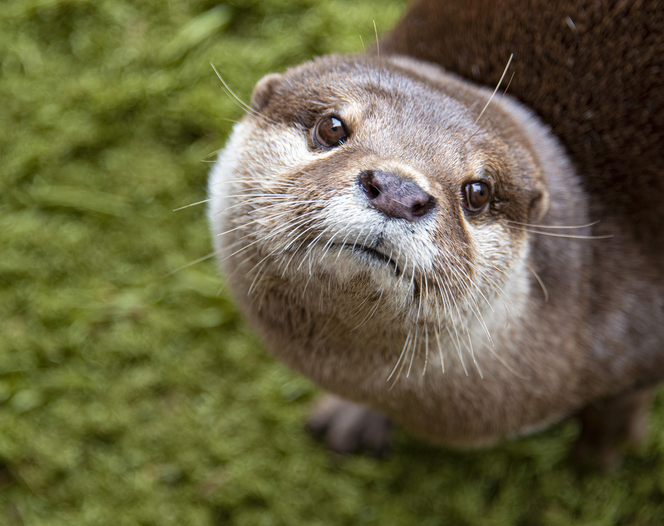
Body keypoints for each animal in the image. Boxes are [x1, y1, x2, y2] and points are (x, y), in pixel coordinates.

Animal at [208, 0, 664, 470]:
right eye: (332, 127)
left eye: (478, 192)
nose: (398, 192)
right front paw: (353, 415)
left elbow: (620, 406)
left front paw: (598, 455)